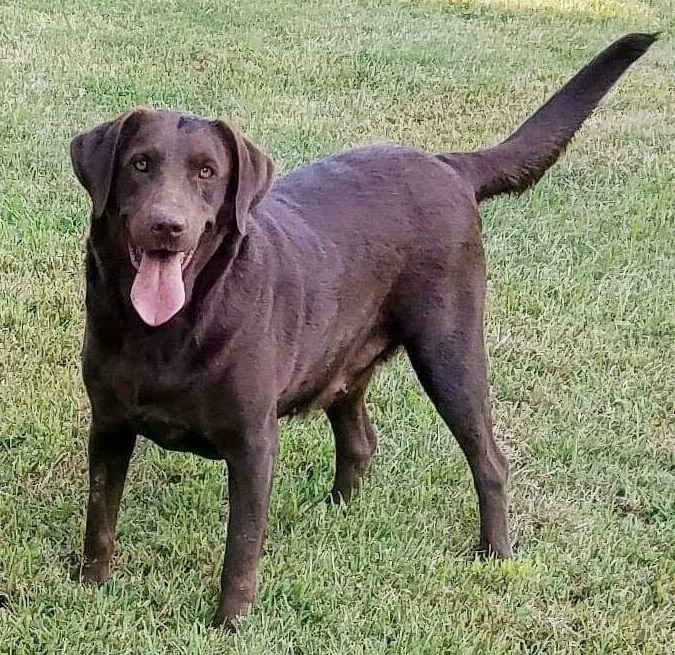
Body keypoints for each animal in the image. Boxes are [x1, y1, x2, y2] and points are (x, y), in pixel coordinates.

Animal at [68, 33, 656, 628]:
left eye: (207, 173)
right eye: (141, 164)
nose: (168, 225)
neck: (169, 327)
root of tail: (447, 165)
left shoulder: (254, 442)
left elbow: (242, 547)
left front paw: (230, 622)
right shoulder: (109, 424)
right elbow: (100, 518)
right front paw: (90, 589)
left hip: (450, 353)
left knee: (490, 460)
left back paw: (494, 553)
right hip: (344, 359)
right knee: (359, 440)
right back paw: (333, 512)